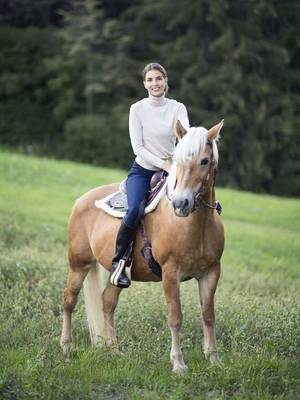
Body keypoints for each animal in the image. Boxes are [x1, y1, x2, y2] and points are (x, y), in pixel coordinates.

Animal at [61, 119, 224, 372]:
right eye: (177, 159)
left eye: (205, 161)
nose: (181, 203)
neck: (196, 226)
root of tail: (81, 200)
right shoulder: (170, 273)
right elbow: (175, 317)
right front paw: (178, 364)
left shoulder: (211, 272)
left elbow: (208, 315)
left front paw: (214, 359)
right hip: (79, 264)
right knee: (69, 300)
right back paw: (67, 347)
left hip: (116, 274)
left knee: (107, 303)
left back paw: (113, 350)